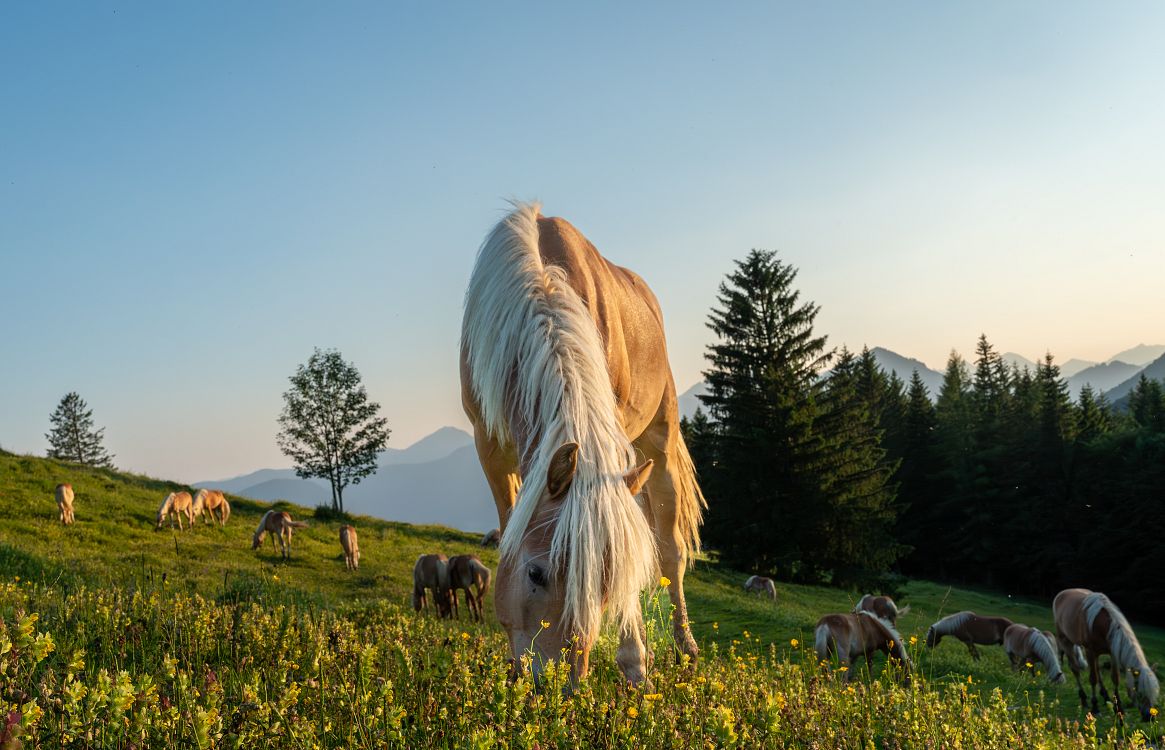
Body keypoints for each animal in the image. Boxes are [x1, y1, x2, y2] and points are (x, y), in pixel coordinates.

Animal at [460, 203, 706, 685]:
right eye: (536, 574)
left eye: (606, 586)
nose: (561, 685)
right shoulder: (490, 448)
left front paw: (634, 663)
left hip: (659, 441)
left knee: (670, 554)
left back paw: (682, 646)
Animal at [1054, 588, 1160, 721]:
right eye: (1139, 692)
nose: (1149, 717)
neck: (1101, 623)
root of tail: (1062, 593)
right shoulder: (1090, 651)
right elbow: (1093, 679)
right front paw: (1095, 707)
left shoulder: (1112, 653)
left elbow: (1115, 678)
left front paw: (1119, 708)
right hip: (1066, 641)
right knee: (1076, 670)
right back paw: (1083, 699)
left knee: (1097, 669)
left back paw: (1105, 696)